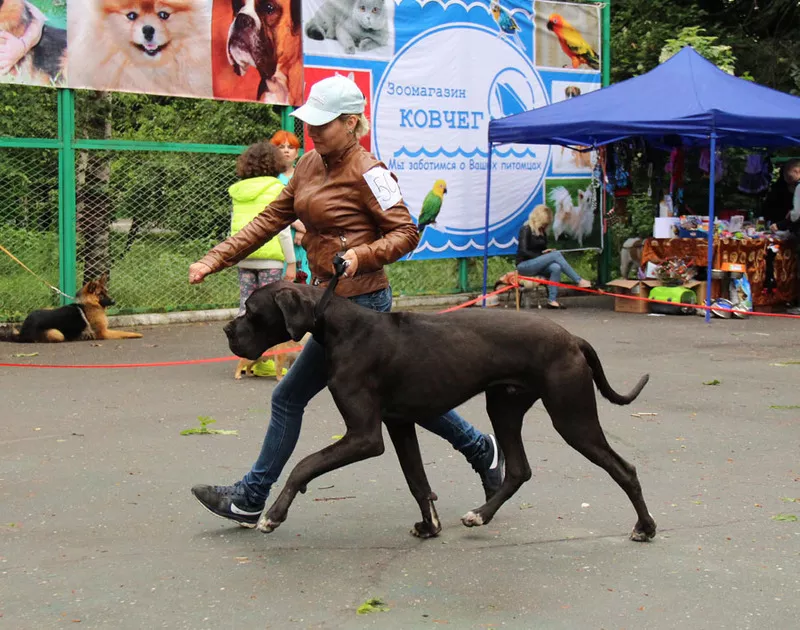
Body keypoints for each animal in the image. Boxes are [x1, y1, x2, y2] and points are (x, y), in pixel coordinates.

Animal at [223, 278, 656, 544]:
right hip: (504, 406)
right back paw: (480, 514)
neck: (338, 326)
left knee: (625, 469)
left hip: (572, 417)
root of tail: (573, 338)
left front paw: (272, 515)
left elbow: (304, 464)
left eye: (250, 309)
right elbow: (416, 480)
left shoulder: (365, 435)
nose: (227, 330)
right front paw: (429, 525)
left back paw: (645, 527)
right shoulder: (399, 424)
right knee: (518, 469)